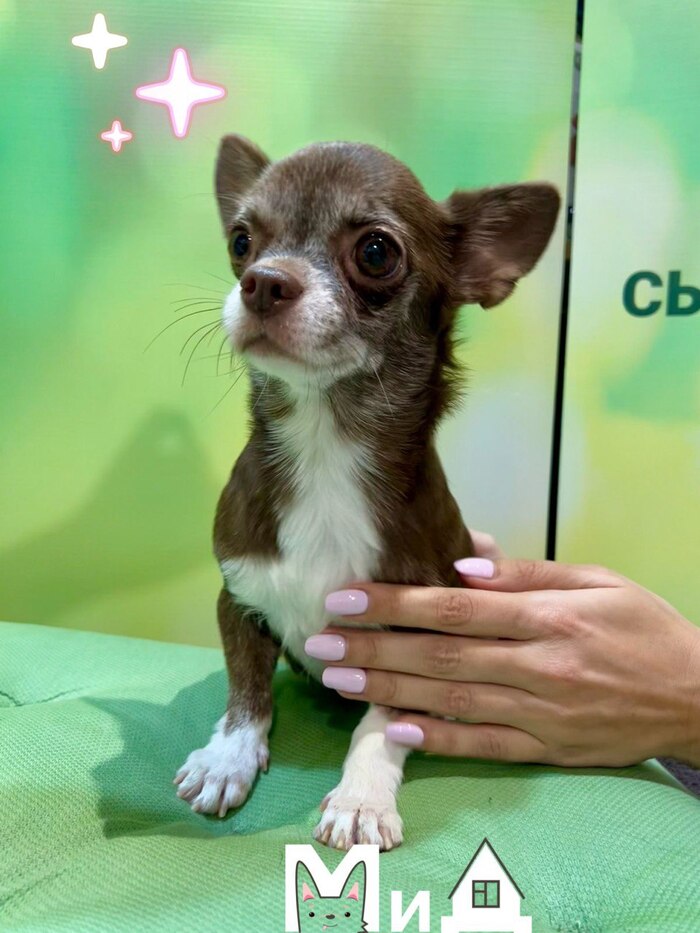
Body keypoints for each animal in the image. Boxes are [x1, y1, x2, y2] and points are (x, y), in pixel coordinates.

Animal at [174, 136, 559, 850]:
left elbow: (380, 722)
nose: (261, 280)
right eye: (242, 240)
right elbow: (246, 690)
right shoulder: (238, 599)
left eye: (376, 252)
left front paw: (361, 797)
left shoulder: (422, 640)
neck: (325, 444)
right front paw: (227, 756)